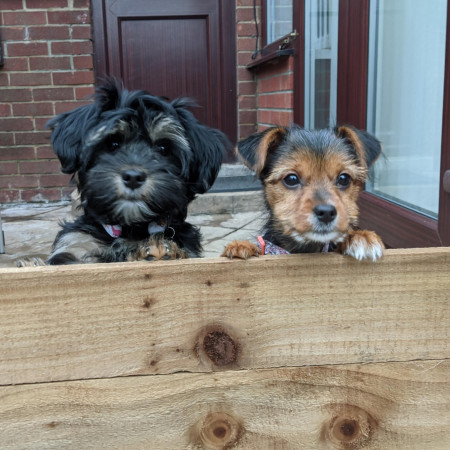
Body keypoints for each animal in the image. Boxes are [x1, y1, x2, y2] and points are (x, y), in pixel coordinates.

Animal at [20, 81, 229, 266]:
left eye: (163, 148)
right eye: (113, 144)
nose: (133, 177)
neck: (132, 229)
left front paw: (162, 252)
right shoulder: (77, 241)